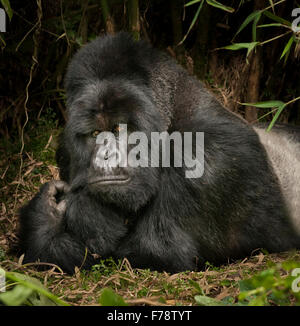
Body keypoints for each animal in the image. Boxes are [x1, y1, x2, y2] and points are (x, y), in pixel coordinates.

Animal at [18, 32, 300, 272]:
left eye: (119, 129)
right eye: (96, 134)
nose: (105, 156)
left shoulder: (212, 160)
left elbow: (152, 253)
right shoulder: (66, 149)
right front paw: (46, 214)